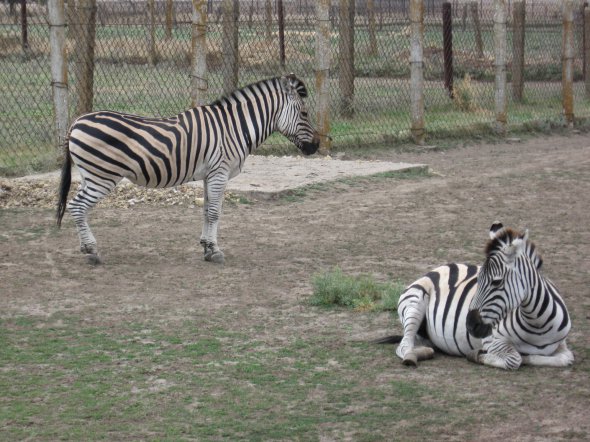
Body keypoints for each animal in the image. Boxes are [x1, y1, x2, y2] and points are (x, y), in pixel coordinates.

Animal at [57, 74, 322, 264]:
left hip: (90, 175)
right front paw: (215, 251)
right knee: (77, 206)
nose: (317, 146)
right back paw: (91, 250)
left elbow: (206, 211)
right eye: (305, 113)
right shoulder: (220, 173)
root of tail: (76, 122)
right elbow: (215, 213)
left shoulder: (210, 175)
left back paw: (86, 247)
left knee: (77, 206)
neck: (235, 127)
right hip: (102, 176)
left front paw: (206, 247)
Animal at [376, 223, 576, 372]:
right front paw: (478, 355)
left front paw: (528, 357)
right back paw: (413, 355)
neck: (538, 326)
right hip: (414, 303)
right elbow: (514, 359)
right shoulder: (493, 340)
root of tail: (437, 268)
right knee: (404, 345)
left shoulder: (562, 345)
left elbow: (565, 358)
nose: (470, 325)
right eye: (478, 280)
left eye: (496, 282)